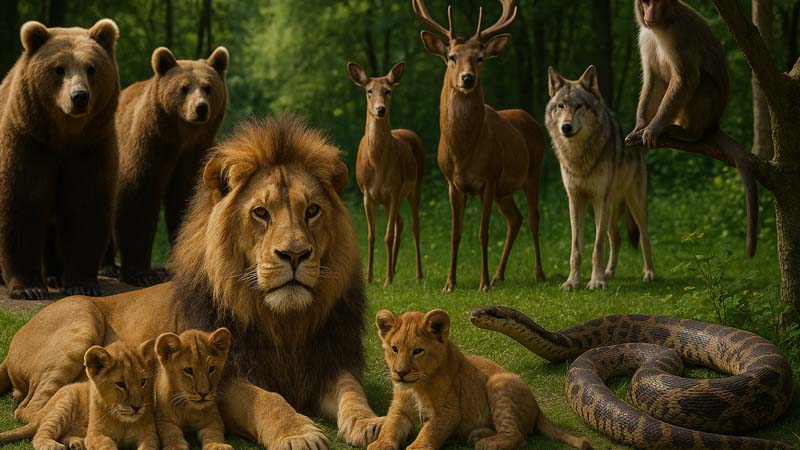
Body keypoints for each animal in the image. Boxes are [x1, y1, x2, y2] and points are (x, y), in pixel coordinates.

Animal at [0, 116, 382, 450]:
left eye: (312, 210)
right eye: (261, 213)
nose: (295, 254)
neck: (283, 322)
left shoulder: (329, 361)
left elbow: (353, 392)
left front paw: (371, 423)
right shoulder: (224, 378)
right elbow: (266, 399)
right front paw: (298, 432)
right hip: (81, 320)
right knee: (31, 408)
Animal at [370, 309, 593, 450]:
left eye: (417, 351)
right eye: (394, 348)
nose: (400, 373)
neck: (416, 386)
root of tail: (538, 409)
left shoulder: (448, 412)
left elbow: (429, 431)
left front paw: (418, 447)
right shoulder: (398, 408)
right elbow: (389, 426)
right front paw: (379, 444)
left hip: (499, 382)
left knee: (519, 438)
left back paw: (486, 443)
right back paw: (478, 435)